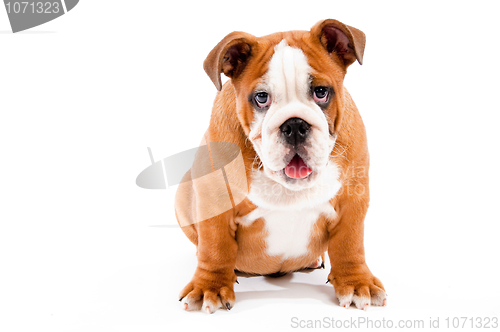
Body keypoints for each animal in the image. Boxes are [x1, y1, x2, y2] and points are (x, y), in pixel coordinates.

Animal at [175, 18, 386, 314]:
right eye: (261, 97)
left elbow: (349, 244)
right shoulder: (214, 198)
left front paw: (356, 282)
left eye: (321, 92)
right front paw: (210, 287)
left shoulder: (352, 200)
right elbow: (215, 246)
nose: (294, 125)